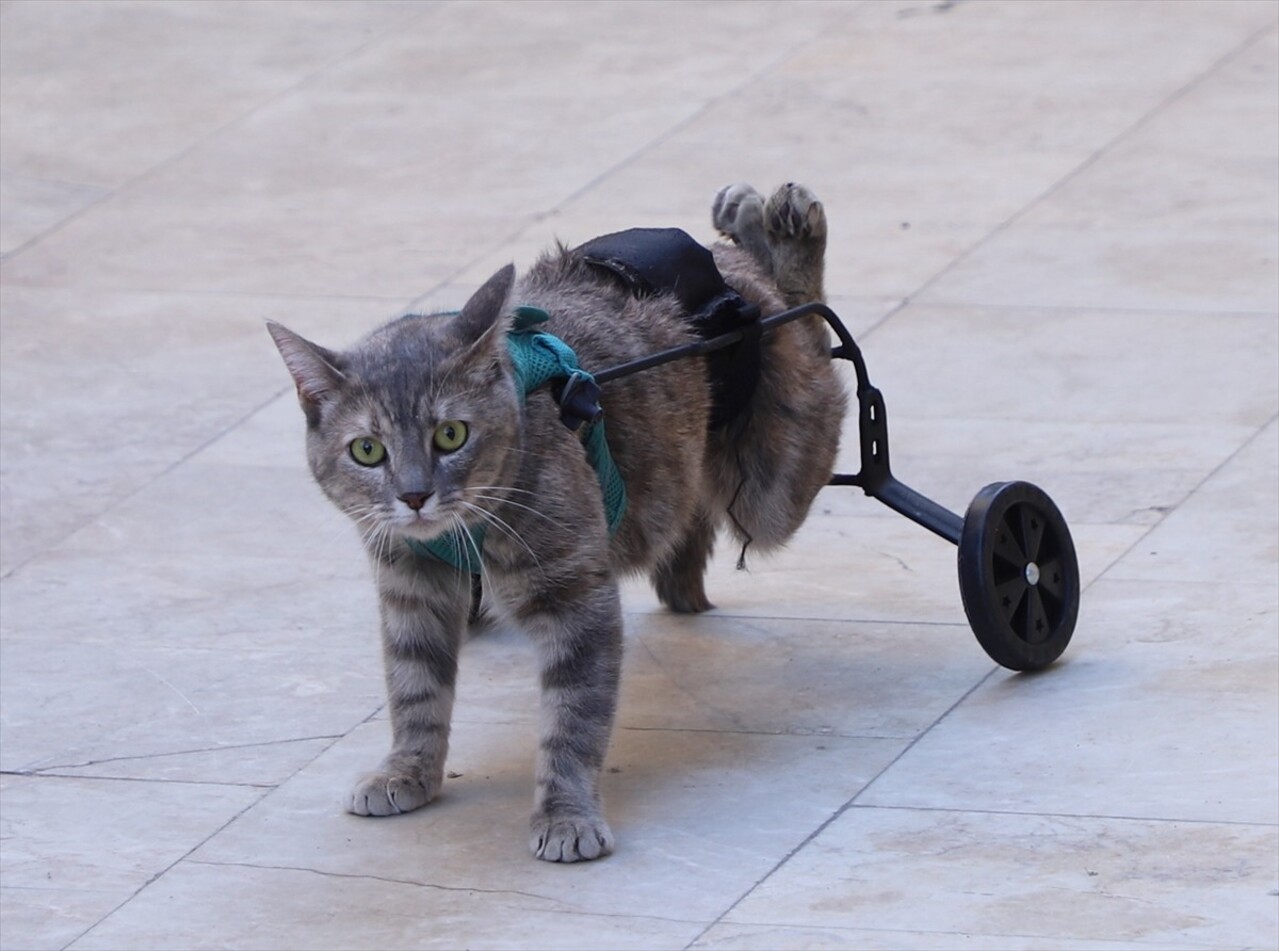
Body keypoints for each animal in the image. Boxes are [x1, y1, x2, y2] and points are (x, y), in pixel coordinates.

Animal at [267, 180, 849, 864]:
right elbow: (413, 688)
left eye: (450, 434)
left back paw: (779, 227)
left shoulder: (576, 599)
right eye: (367, 450)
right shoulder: (409, 588)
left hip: (776, 479)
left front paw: (566, 813)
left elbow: (572, 719)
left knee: (811, 324)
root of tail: (729, 271)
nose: (413, 495)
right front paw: (407, 769)